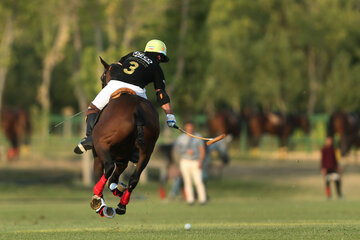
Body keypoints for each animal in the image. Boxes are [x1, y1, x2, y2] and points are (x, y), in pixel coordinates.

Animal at [88, 58, 159, 218]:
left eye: (102, 77)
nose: (102, 84)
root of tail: (137, 110)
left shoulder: (98, 156)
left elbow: (101, 174)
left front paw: (100, 203)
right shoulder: (123, 159)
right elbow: (114, 179)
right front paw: (117, 189)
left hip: (101, 144)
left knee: (109, 167)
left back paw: (100, 202)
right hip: (147, 151)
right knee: (134, 178)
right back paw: (121, 205)